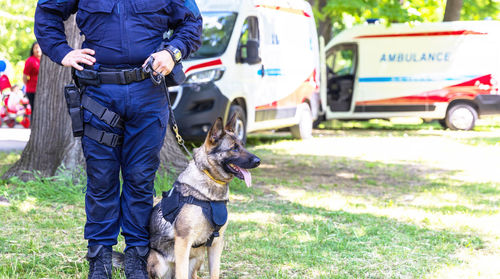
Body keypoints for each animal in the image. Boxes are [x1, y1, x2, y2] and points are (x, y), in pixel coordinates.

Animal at [138, 115, 260, 278]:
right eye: (234, 148)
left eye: (242, 145)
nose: (258, 161)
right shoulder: (183, 241)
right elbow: (182, 274)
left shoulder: (216, 243)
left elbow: (214, 273)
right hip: (159, 263)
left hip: (198, 257)